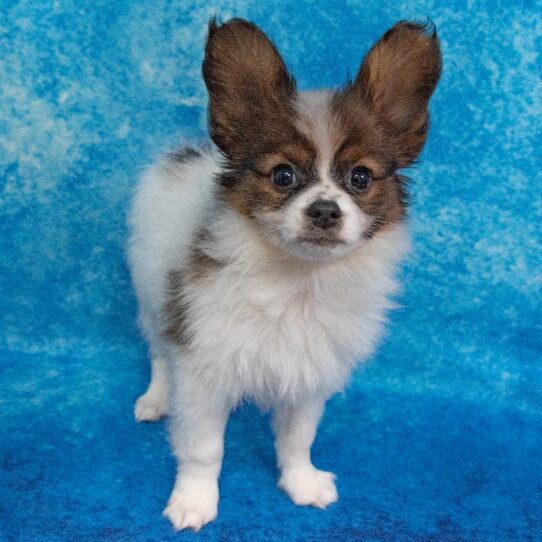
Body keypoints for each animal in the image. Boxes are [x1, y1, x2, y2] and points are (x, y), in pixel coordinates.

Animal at [129, 18, 442, 536]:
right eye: (282, 175)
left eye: (360, 178)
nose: (325, 210)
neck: (299, 281)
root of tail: (185, 157)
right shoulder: (203, 365)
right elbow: (204, 449)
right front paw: (194, 502)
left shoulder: (310, 372)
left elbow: (298, 438)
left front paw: (302, 484)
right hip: (153, 290)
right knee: (158, 349)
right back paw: (156, 398)